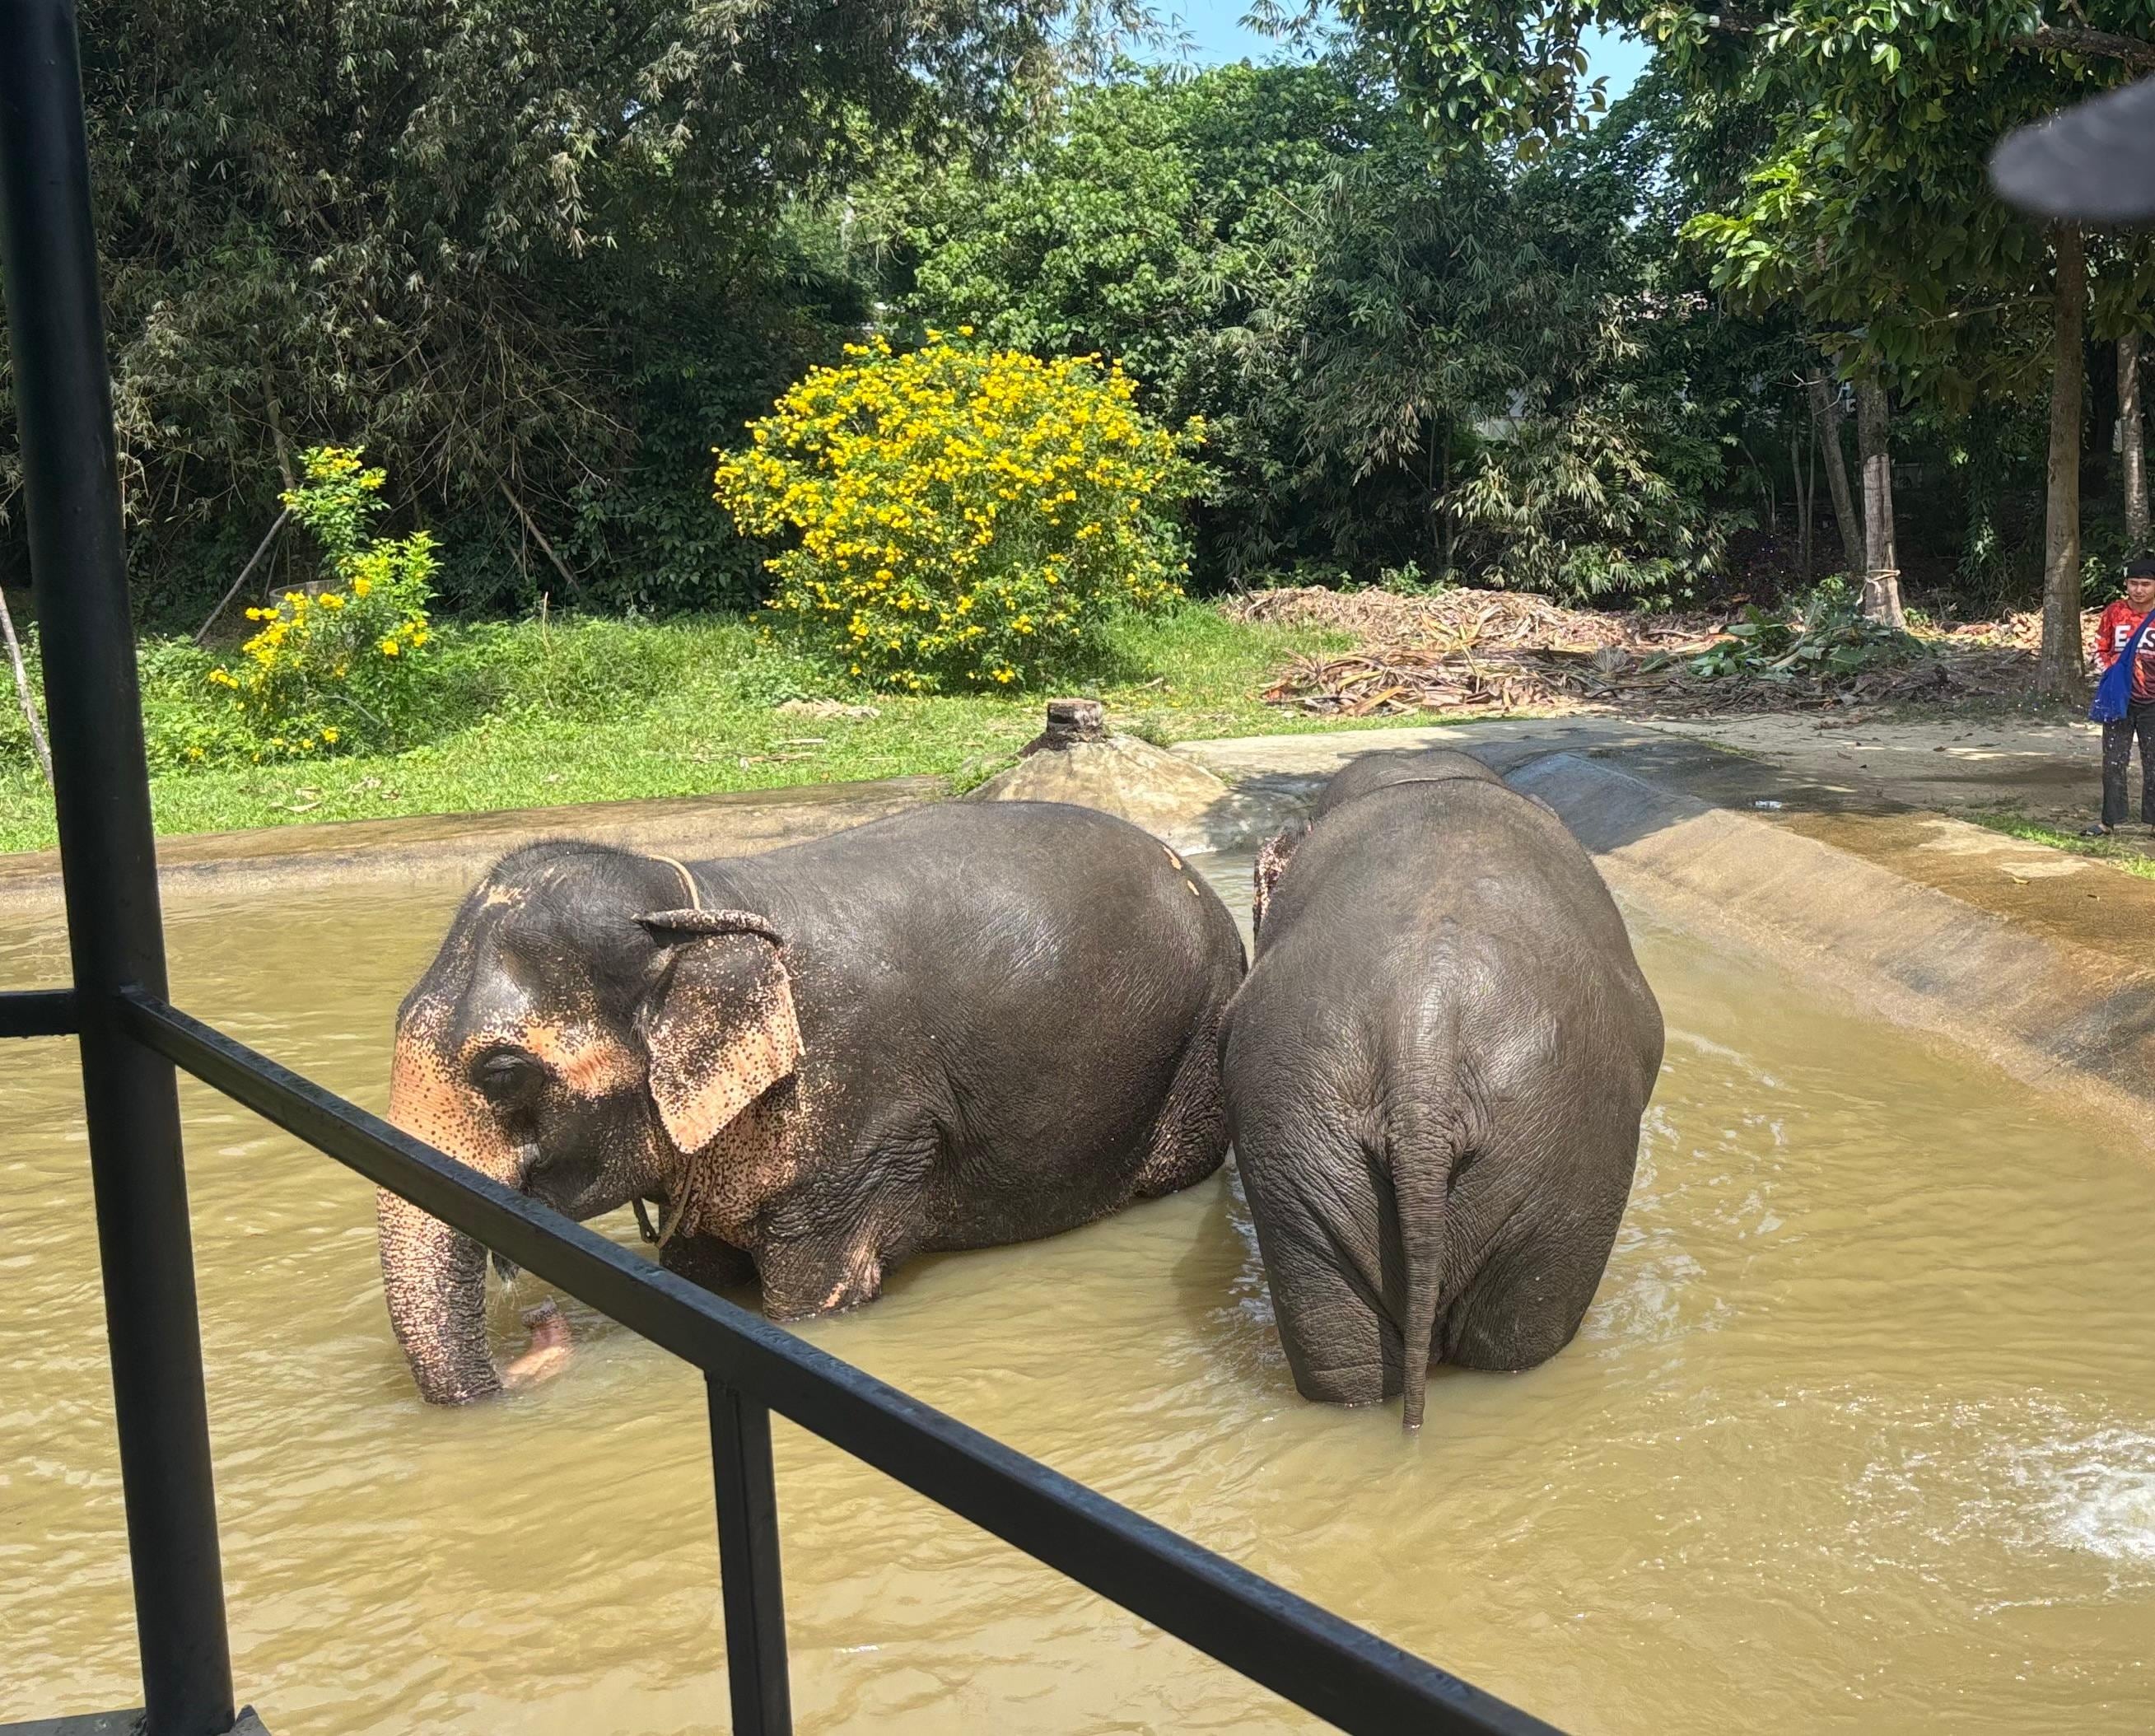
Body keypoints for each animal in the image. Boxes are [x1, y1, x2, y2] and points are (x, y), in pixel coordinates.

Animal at [379, 800, 1245, 1403]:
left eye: (502, 1073)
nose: (535, 1329)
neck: (695, 896)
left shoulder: (859, 1119)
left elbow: (814, 1295)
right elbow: (699, 1270)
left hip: (1195, 1037)